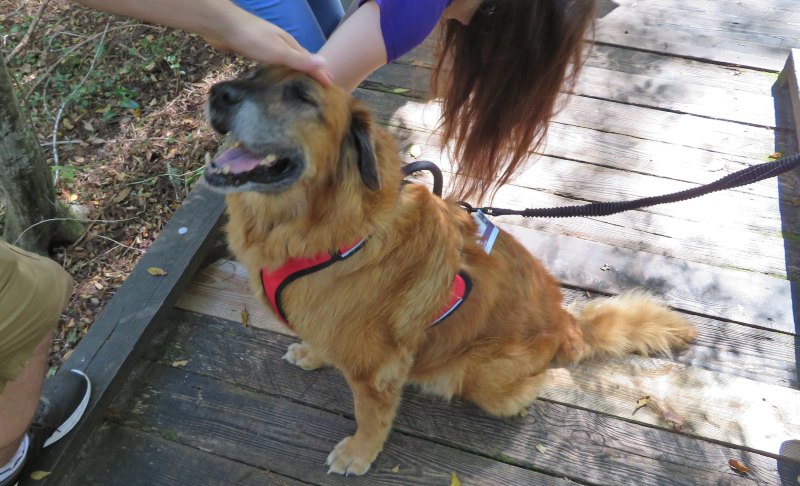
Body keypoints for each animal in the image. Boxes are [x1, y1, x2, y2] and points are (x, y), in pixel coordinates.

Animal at [203, 64, 696, 474]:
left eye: (302, 96)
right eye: (252, 71)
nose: (219, 93)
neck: (328, 231)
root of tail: (567, 325)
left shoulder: (377, 371)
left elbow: (369, 416)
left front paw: (358, 454)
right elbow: (322, 342)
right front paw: (311, 353)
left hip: (481, 379)